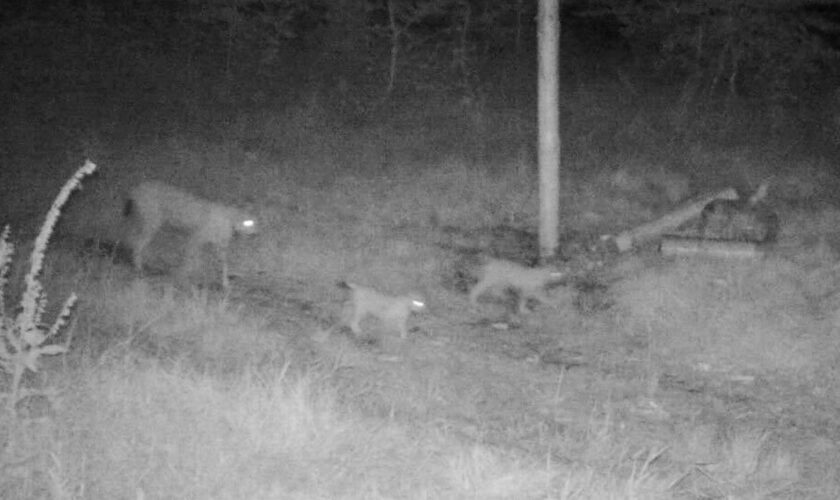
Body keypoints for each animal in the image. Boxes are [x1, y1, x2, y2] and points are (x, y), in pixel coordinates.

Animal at [123, 182, 256, 288]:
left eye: (254, 223)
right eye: (248, 223)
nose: (255, 233)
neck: (230, 220)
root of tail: (136, 188)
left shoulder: (218, 246)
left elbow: (223, 264)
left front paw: (225, 283)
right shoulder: (195, 238)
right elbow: (191, 261)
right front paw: (185, 279)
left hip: (142, 224)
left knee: (133, 241)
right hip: (151, 225)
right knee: (137, 245)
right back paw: (139, 269)